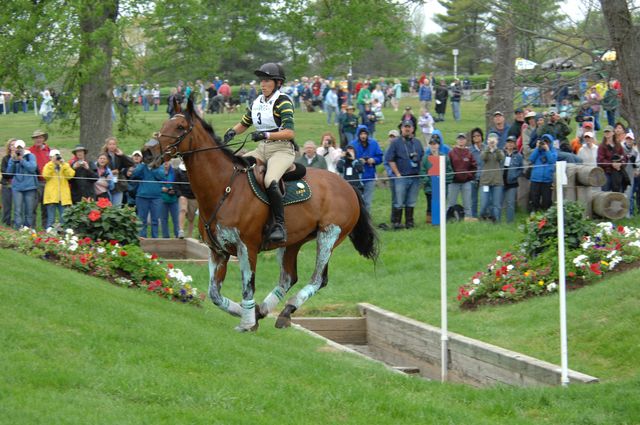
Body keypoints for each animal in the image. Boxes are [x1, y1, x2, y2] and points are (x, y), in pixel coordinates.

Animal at [142, 98, 378, 332]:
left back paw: (284, 311)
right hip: (292, 241)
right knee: (288, 278)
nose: (147, 152)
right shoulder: (217, 251)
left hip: (328, 236)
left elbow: (247, 286)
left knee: (318, 279)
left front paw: (246, 323)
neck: (224, 188)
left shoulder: (247, 247)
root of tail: (347, 185)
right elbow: (214, 295)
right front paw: (245, 314)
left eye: (180, 127)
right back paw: (263, 311)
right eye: (165, 123)